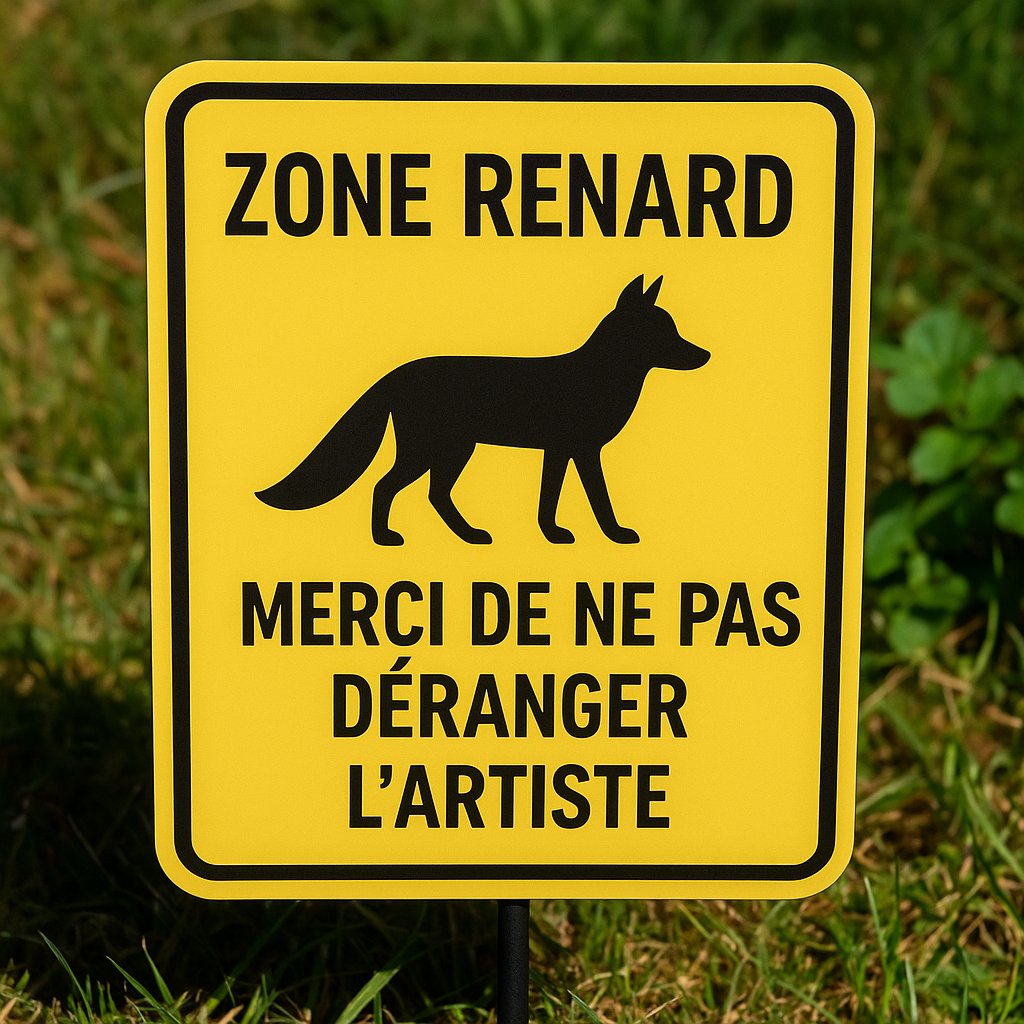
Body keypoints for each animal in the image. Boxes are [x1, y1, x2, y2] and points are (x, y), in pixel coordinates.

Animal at [256, 274, 710, 545]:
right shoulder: (582, 451)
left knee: (435, 495)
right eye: (664, 332)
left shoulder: (559, 452)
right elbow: (598, 498)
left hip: (454, 450)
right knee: (386, 487)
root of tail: (399, 373)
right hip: (434, 451)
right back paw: (386, 538)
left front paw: (551, 534)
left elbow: (549, 499)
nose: (705, 355)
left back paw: (469, 535)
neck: (601, 373)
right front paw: (614, 534)